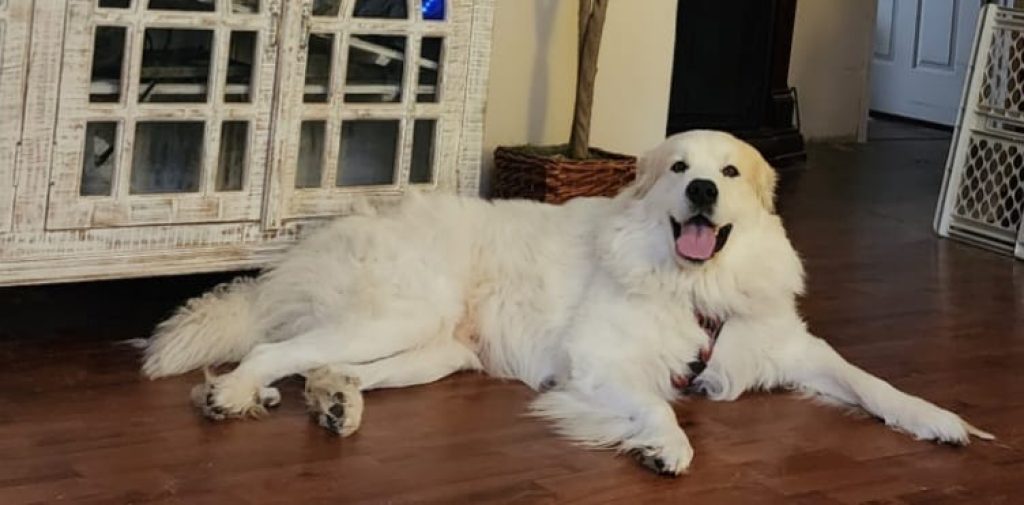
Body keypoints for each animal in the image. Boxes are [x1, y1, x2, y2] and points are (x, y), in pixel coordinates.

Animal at [140, 129, 987, 473]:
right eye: (679, 167)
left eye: (730, 172)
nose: (702, 191)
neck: (692, 284)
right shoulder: (604, 363)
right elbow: (662, 404)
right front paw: (666, 446)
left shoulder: (784, 344)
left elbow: (868, 380)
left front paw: (941, 419)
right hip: (397, 313)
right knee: (269, 347)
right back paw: (233, 395)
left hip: (434, 348)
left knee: (323, 366)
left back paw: (328, 402)